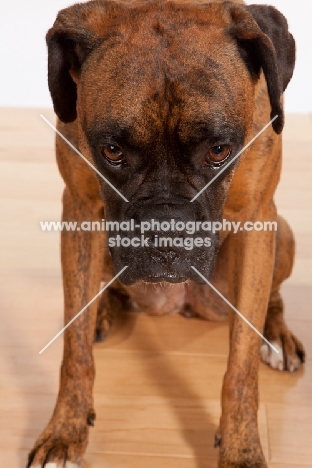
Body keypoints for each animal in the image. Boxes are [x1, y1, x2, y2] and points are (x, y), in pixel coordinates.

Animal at [26, 0, 304, 468]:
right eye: (112, 151)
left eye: (219, 151)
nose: (165, 231)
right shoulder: (79, 211)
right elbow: (75, 346)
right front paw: (65, 430)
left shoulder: (257, 221)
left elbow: (241, 364)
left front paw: (241, 446)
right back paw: (103, 311)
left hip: (280, 234)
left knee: (272, 297)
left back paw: (277, 333)